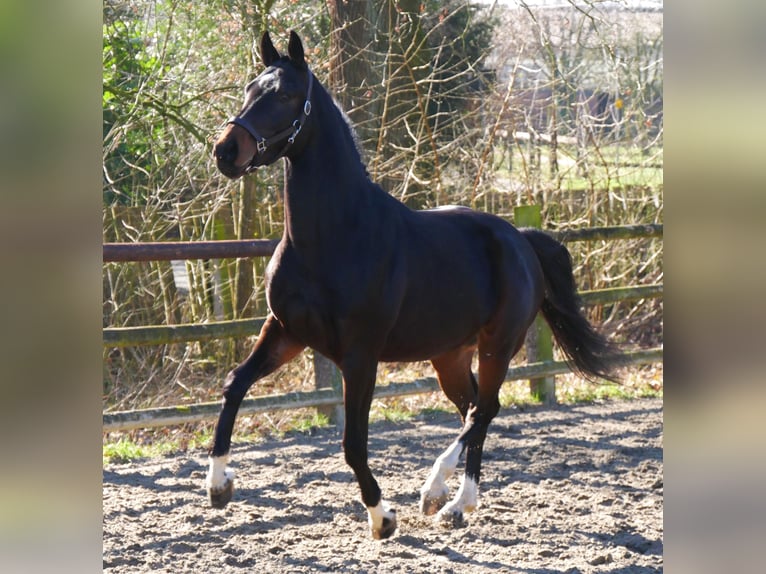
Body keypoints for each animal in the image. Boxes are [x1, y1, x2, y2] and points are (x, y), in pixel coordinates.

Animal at [212, 31, 624, 544]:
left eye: (286, 94)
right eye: (251, 88)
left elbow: (353, 444)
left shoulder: (360, 356)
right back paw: (455, 504)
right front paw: (219, 485)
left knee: (484, 410)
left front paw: (382, 517)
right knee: (475, 409)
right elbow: (234, 386)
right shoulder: (285, 332)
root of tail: (519, 239)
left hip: (498, 344)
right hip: (450, 355)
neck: (333, 236)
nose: (226, 151)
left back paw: (440, 495)